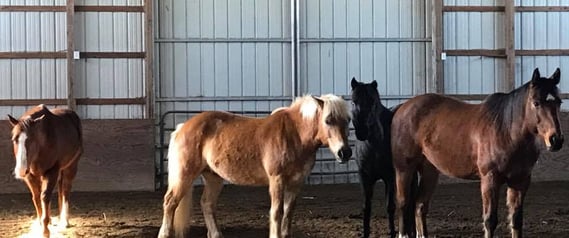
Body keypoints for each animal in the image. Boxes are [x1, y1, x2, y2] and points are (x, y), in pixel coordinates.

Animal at [6, 105, 82, 238]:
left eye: (32, 140)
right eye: (14, 139)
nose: (21, 170)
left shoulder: (51, 172)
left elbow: (45, 196)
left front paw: (45, 230)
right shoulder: (30, 176)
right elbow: (36, 197)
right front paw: (40, 224)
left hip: (71, 166)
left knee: (65, 189)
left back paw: (65, 221)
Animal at [158, 94, 352, 238]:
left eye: (347, 120)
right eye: (328, 120)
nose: (345, 152)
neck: (294, 135)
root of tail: (183, 127)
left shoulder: (296, 183)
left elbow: (288, 213)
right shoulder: (277, 180)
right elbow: (276, 212)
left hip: (213, 177)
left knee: (206, 203)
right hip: (185, 174)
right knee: (170, 202)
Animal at [348, 77, 398, 237]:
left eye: (373, 102)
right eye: (353, 102)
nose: (362, 131)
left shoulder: (390, 177)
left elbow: (390, 206)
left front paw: (393, 232)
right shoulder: (365, 176)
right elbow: (367, 207)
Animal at [390, 68, 564, 237]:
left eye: (559, 102)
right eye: (536, 103)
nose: (556, 139)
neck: (506, 130)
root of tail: (402, 107)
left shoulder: (520, 181)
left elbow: (516, 220)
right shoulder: (489, 179)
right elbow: (490, 221)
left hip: (429, 171)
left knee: (420, 205)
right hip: (404, 169)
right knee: (403, 204)